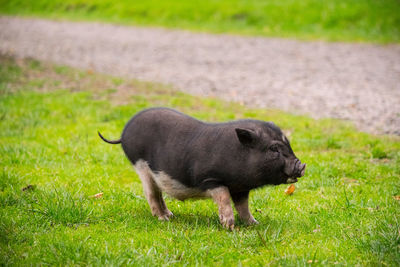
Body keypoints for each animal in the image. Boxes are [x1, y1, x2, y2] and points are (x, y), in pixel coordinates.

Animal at [98, 108, 304, 229]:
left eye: (288, 144)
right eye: (274, 149)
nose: (301, 165)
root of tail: (124, 134)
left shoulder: (241, 188)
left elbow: (243, 207)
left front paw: (254, 224)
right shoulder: (211, 179)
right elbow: (224, 200)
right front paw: (230, 227)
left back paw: (171, 215)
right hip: (141, 167)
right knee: (151, 194)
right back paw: (164, 219)